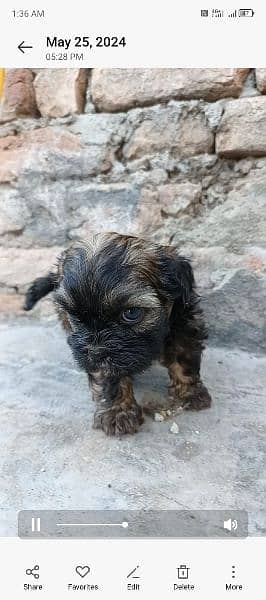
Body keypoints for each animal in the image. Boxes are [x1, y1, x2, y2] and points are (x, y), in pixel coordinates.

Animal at [25, 232, 212, 434]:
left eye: (131, 313)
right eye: (75, 315)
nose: (95, 352)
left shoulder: (184, 324)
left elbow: (183, 360)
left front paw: (190, 392)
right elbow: (109, 377)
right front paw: (118, 412)